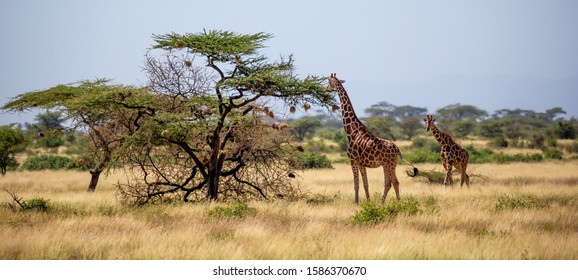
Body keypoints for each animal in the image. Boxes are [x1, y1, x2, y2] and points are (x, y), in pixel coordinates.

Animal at [324, 72, 414, 203]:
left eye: (329, 80)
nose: (326, 89)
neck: (351, 132)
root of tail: (397, 149)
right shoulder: (361, 164)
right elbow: (365, 184)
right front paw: (368, 201)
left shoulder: (353, 160)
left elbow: (356, 184)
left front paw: (356, 202)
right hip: (386, 164)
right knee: (388, 183)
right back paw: (381, 202)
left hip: (390, 164)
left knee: (395, 182)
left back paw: (398, 203)